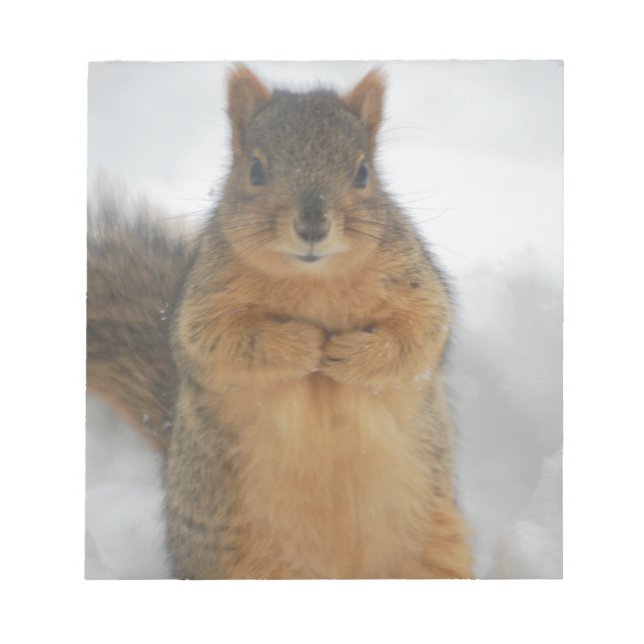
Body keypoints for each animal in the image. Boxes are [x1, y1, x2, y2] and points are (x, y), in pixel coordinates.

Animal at [87, 65, 474, 579]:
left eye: (363, 173)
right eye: (255, 169)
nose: (312, 226)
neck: (313, 280)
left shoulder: (417, 286)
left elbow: (420, 336)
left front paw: (347, 354)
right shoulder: (202, 305)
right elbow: (219, 342)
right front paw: (306, 345)